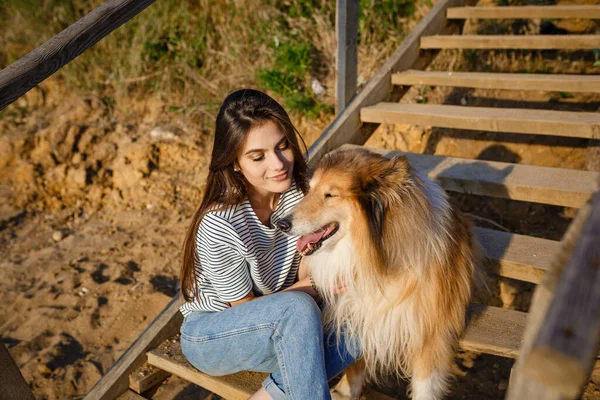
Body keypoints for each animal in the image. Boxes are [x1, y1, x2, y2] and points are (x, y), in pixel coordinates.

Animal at [276, 148, 478, 400]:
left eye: (330, 194)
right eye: (310, 189)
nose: (281, 224)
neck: (375, 256)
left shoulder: (429, 334)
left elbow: (425, 386)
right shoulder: (359, 315)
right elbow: (355, 365)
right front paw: (345, 392)